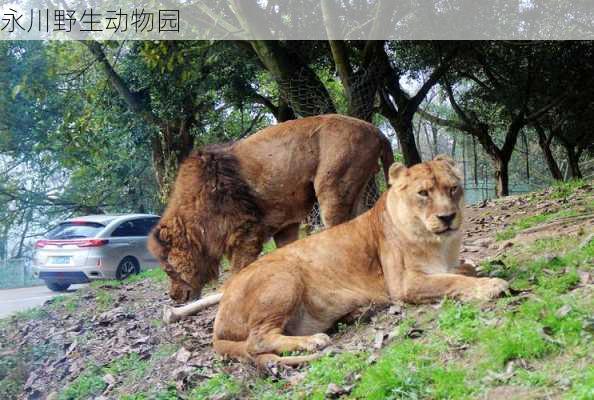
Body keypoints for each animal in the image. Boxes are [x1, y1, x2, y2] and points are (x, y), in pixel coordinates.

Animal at [147, 114, 394, 302]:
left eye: (168, 270)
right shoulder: (285, 226)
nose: (173, 297)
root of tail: (377, 131)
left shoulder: (246, 232)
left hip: (332, 187)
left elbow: (238, 272)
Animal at [210, 155, 506, 366]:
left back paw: (358, 313)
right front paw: (491, 285)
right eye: (423, 193)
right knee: (256, 341)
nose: (447, 217)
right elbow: (451, 281)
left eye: (453, 188)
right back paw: (313, 341)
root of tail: (218, 320)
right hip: (283, 275)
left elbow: (465, 268)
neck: (439, 244)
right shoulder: (404, 284)